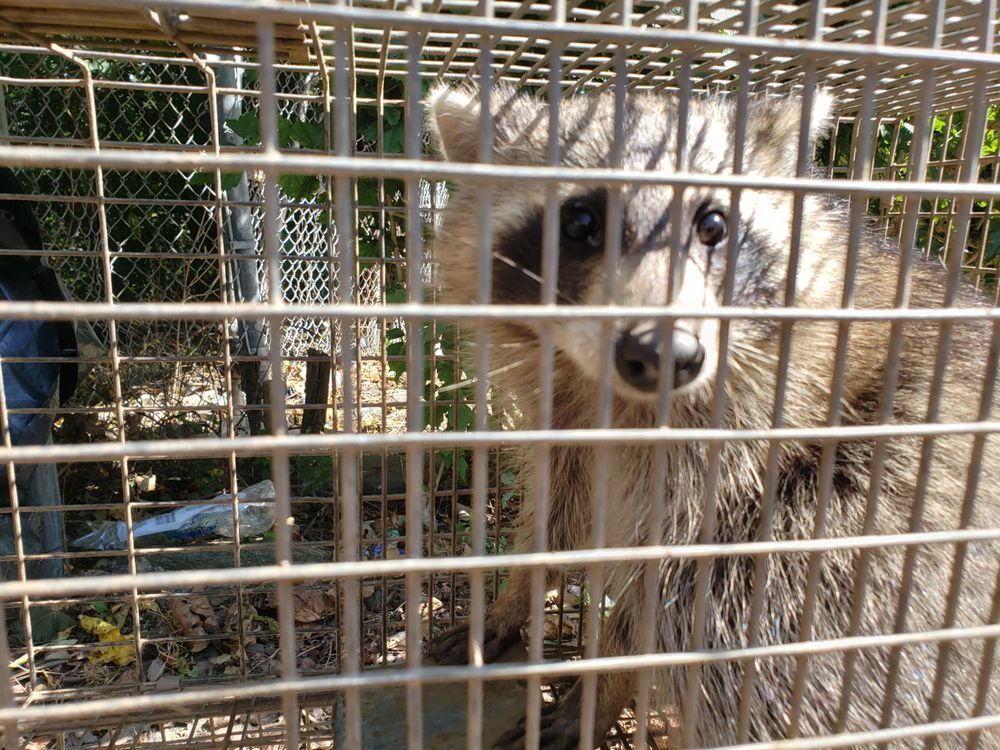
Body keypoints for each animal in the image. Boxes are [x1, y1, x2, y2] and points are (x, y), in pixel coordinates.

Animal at [423, 84, 1000, 749]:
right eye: (581, 223)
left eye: (713, 225)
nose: (663, 353)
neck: (624, 402)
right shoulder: (565, 412)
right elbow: (560, 511)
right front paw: (514, 594)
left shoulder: (741, 443)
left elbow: (662, 597)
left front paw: (597, 690)